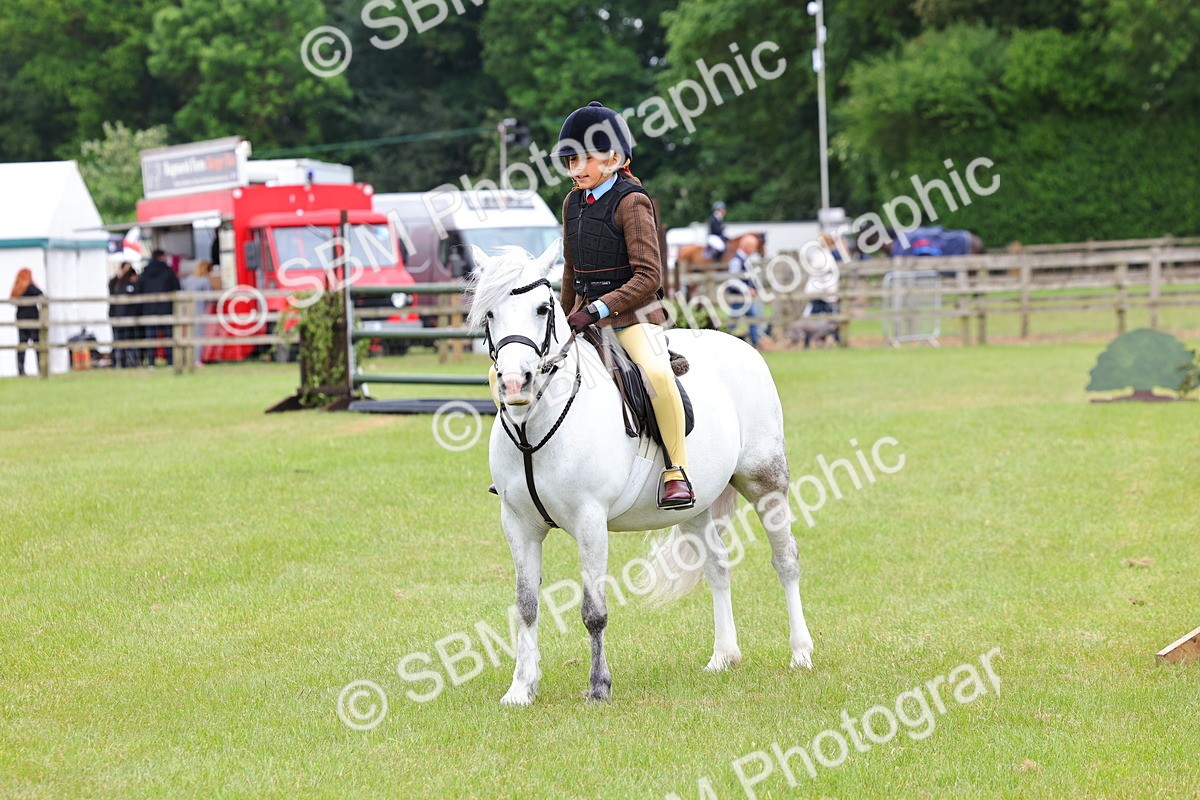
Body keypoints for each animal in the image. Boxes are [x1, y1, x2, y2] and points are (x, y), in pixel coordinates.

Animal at [466, 240, 814, 706]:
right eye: (489, 313)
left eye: (542, 308)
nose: (514, 384)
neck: (535, 424)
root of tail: (741, 346)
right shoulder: (518, 523)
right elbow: (525, 606)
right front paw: (521, 688)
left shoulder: (590, 519)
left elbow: (593, 610)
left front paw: (599, 687)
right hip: (696, 505)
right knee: (717, 566)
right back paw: (723, 656)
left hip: (766, 482)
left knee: (785, 559)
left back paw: (800, 653)